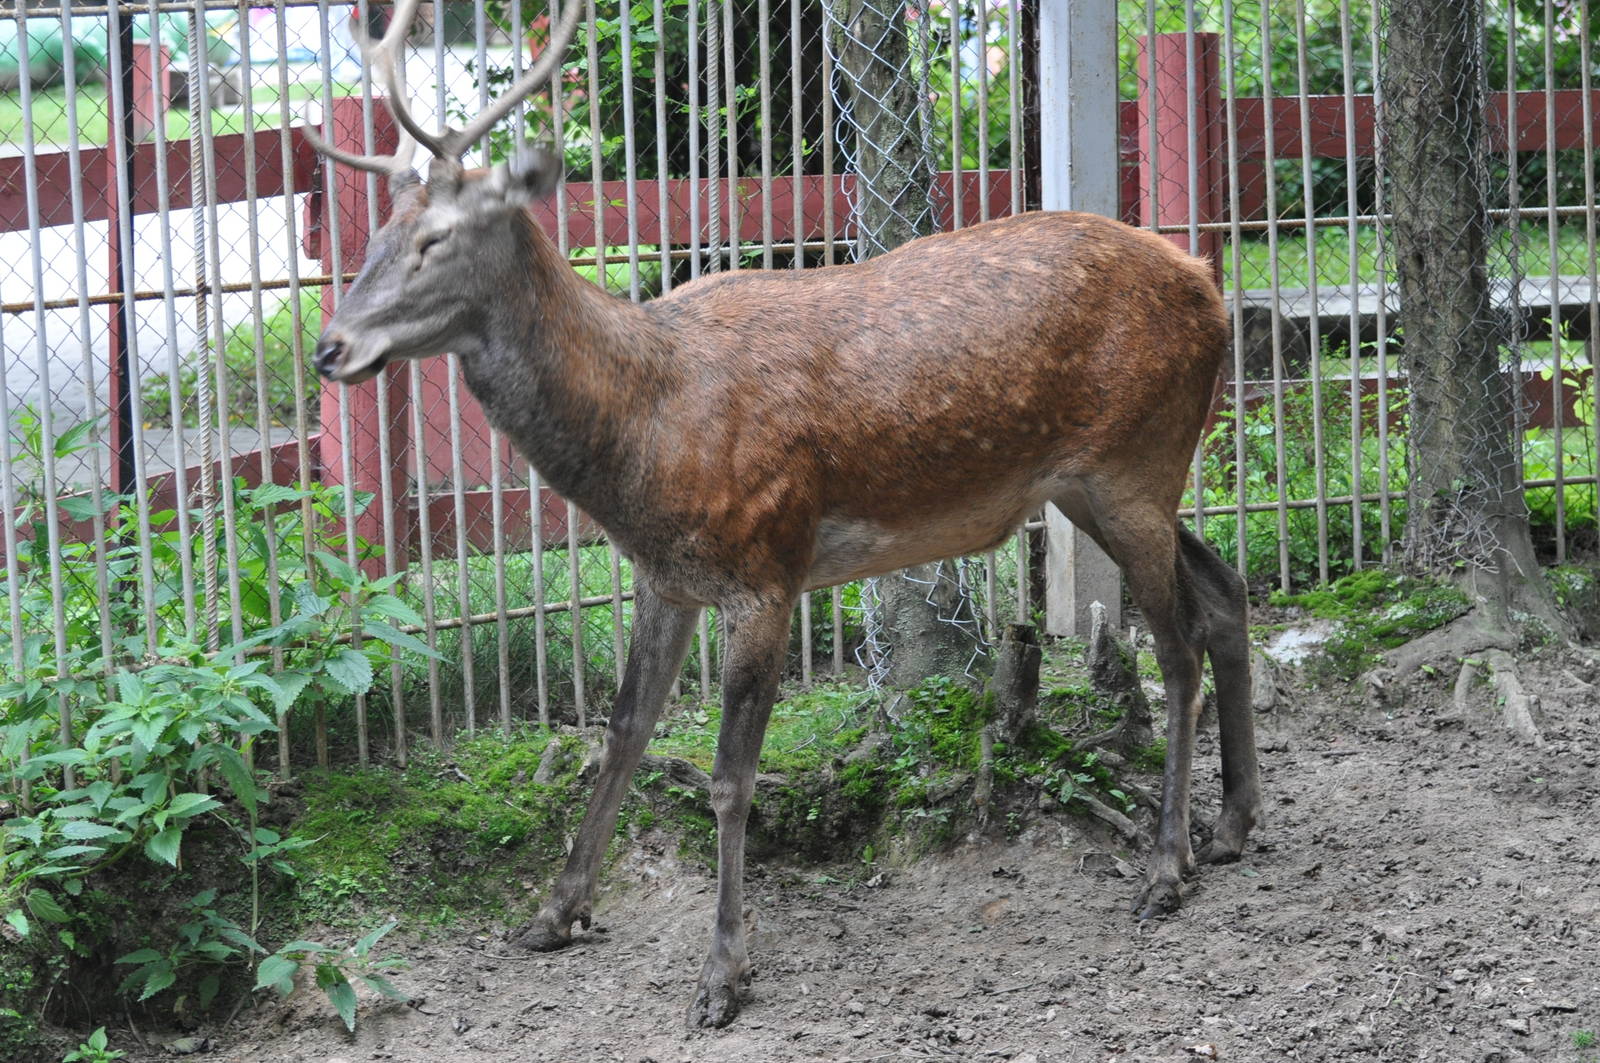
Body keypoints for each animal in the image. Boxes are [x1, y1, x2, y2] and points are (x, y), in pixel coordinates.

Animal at [306, 0, 1262, 1029]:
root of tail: (1210, 281)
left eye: (437, 239)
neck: (643, 435)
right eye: (375, 236)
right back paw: (1234, 822)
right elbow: (623, 730)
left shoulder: (766, 563)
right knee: (1225, 590)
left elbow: (731, 777)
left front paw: (722, 975)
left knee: (1176, 644)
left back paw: (1167, 865)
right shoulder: (665, 574)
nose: (330, 347)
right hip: (1098, 483)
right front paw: (554, 913)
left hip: (1133, 461)